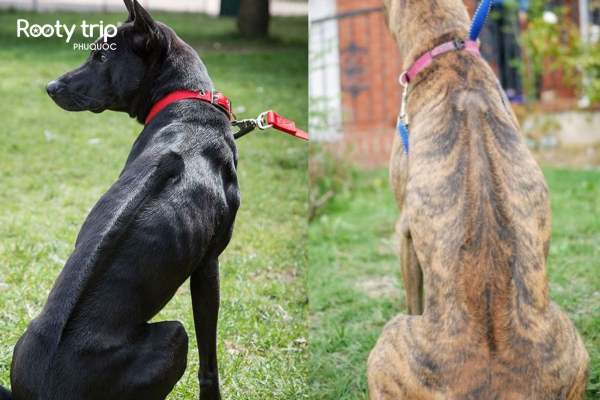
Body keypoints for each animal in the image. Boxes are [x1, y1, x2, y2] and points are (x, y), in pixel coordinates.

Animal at [2, 1, 241, 398]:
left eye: (102, 57)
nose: (50, 87)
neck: (188, 102)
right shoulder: (209, 265)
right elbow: (210, 361)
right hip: (175, 336)